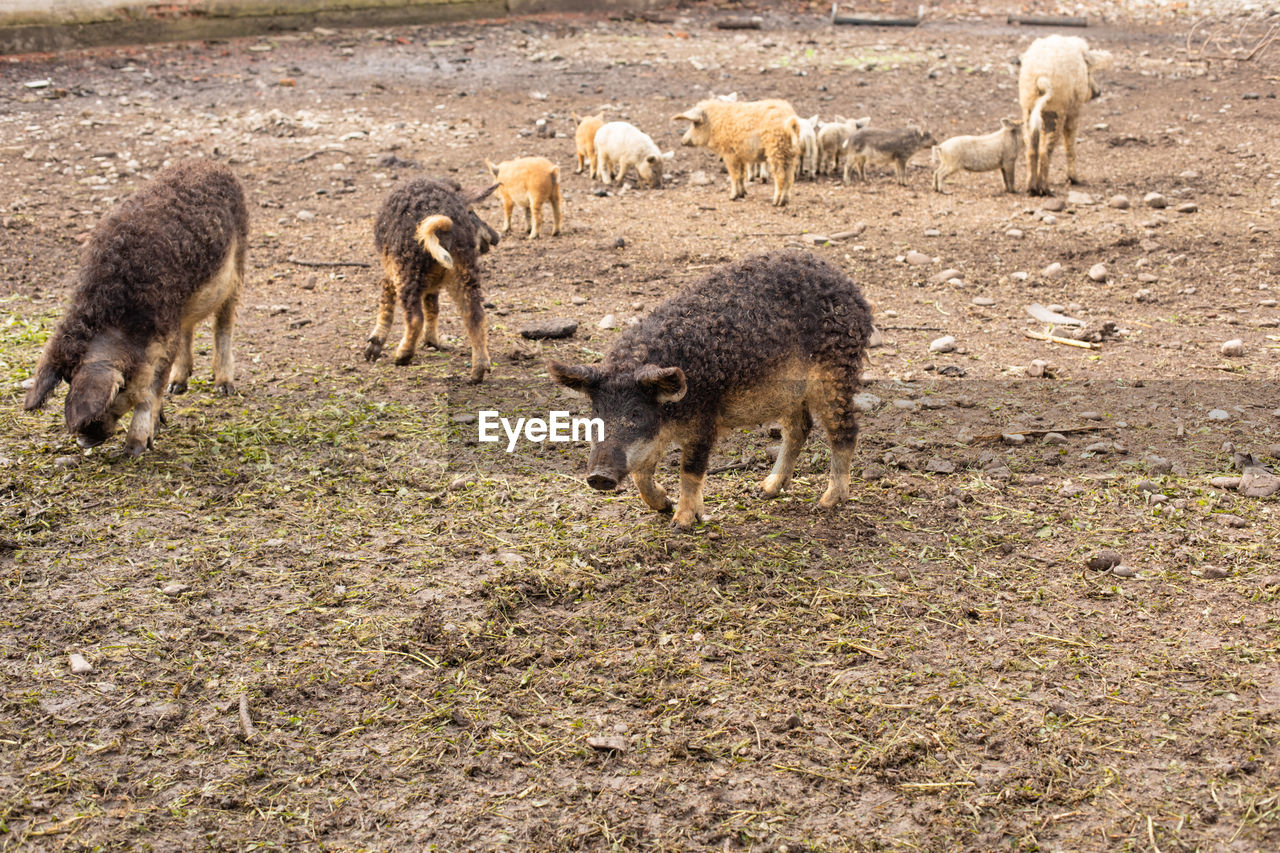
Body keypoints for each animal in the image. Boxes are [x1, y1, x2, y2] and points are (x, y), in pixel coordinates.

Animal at [24, 156, 248, 455]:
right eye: (68, 381)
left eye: (119, 389)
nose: (84, 440)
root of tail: (209, 162)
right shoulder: (169, 323)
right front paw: (159, 424)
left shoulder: (164, 334)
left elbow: (150, 391)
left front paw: (135, 449)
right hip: (187, 307)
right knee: (189, 331)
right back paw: (178, 387)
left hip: (238, 263)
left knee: (223, 324)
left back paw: (224, 388)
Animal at [366, 175, 499, 381]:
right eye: (472, 212)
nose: (496, 238)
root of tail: (444, 229)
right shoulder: (433, 284)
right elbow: (433, 308)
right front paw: (433, 343)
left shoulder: (391, 268)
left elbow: (386, 298)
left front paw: (372, 349)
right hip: (465, 272)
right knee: (475, 315)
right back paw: (478, 373)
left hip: (407, 269)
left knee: (414, 317)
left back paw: (401, 356)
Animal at [545, 247, 875, 525]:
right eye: (596, 413)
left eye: (636, 413)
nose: (599, 476)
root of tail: (850, 286)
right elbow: (641, 473)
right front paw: (664, 506)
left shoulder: (705, 416)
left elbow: (690, 469)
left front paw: (681, 523)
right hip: (790, 392)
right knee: (800, 428)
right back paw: (765, 489)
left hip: (836, 373)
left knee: (845, 430)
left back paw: (828, 502)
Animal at [1018, 34, 1111, 194]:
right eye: (1089, 72)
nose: (1098, 92)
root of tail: (1040, 77)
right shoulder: (1073, 110)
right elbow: (1070, 143)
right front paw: (1074, 180)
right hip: (1055, 110)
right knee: (1045, 150)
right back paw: (1045, 190)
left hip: (1028, 110)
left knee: (1031, 149)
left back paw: (1031, 189)